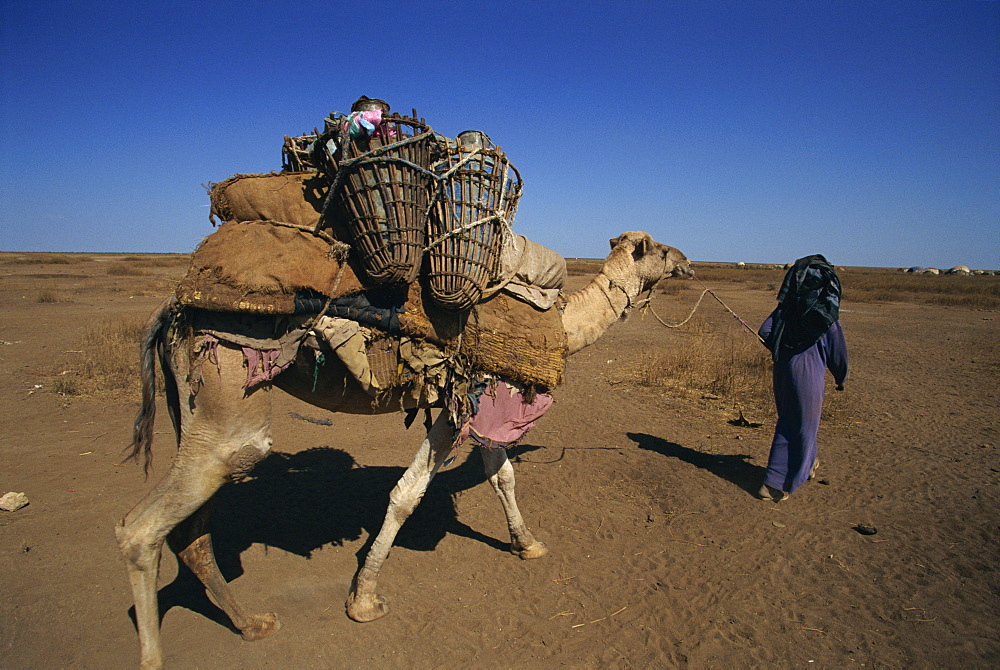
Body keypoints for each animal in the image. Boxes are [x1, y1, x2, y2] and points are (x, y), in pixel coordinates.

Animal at [115, 232, 688, 670]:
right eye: (660, 248)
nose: (685, 260)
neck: (559, 326)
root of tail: (174, 302)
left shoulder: (478, 395)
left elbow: (501, 476)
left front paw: (528, 544)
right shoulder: (462, 402)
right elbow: (408, 494)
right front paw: (364, 599)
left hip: (196, 404)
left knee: (191, 529)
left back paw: (252, 624)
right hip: (230, 376)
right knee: (145, 526)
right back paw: (158, 656)